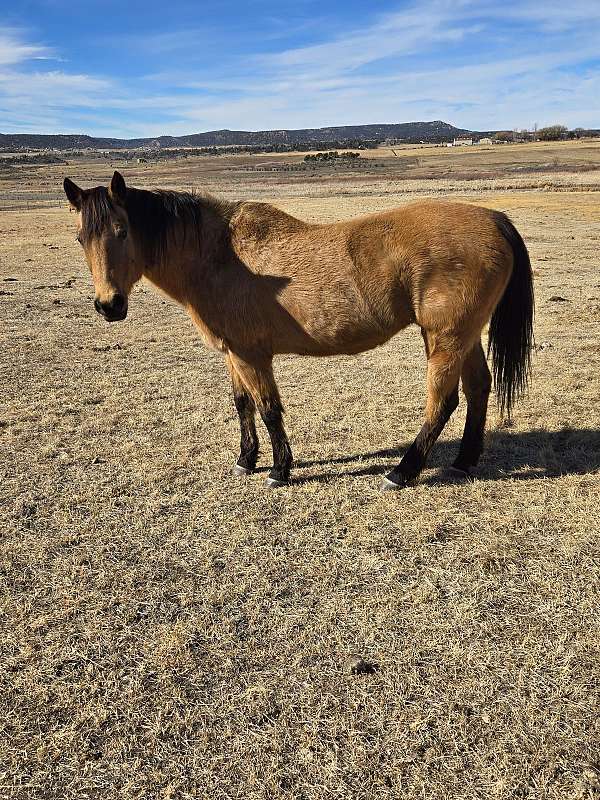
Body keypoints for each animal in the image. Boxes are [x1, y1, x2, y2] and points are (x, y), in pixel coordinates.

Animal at [63, 172, 536, 490]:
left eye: (123, 231)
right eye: (80, 237)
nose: (109, 306)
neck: (219, 257)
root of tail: (494, 219)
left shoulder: (252, 355)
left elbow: (269, 408)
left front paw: (278, 470)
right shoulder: (234, 353)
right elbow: (242, 405)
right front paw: (246, 460)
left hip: (444, 337)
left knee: (443, 401)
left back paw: (401, 472)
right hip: (464, 336)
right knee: (478, 388)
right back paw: (463, 461)